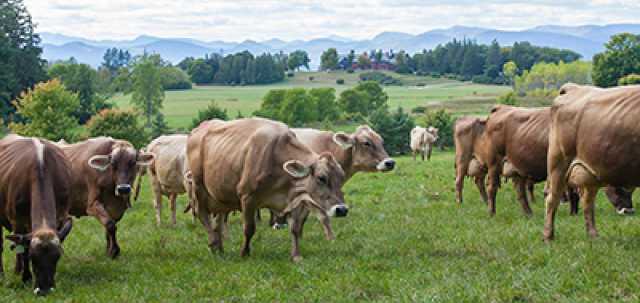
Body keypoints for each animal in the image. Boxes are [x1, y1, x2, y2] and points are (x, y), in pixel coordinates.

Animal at [0, 136, 73, 296]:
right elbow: (23, 249)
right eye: (33, 257)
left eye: (57, 256)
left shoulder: (60, 217)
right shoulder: (18, 220)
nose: (44, 290)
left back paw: (17, 270)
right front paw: (26, 277)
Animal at [188, 117, 348, 262]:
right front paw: (244, 253)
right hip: (198, 186)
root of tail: (200, 127)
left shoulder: (293, 199)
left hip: (221, 195)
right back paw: (213, 242)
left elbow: (295, 228)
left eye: (342, 177)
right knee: (202, 215)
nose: (342, 210)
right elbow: (249, 228)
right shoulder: (247, 197)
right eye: (321, 178)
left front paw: (296, 255)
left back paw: (219, 248)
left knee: (218, 222)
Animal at [544, 84, 640, 241]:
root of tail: (574, 88)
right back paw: (548, 236)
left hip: (591, 172)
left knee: (588, 202)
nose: (629, 211)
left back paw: (593, 235)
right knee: (552, 199)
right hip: (558, 163)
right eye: (618, 190)